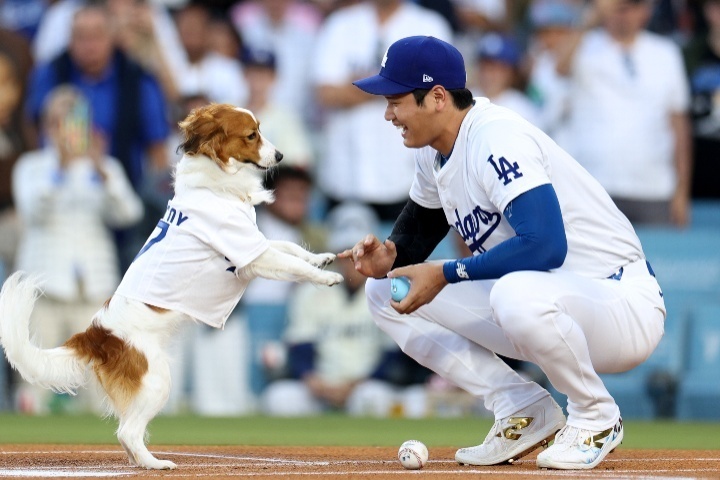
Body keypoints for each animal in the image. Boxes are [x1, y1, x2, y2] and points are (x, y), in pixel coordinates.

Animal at [0, 104, 344, 468]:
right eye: (252, 135)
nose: (280, 156)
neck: (215, 182)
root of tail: (96, 335)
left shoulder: (255, 244)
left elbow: (291, 248)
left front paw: (323, 258)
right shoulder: (250, 256)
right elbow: (292, 264)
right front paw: (326, 278)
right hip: (157, 381)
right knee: (127, 432)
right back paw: (155, 464)